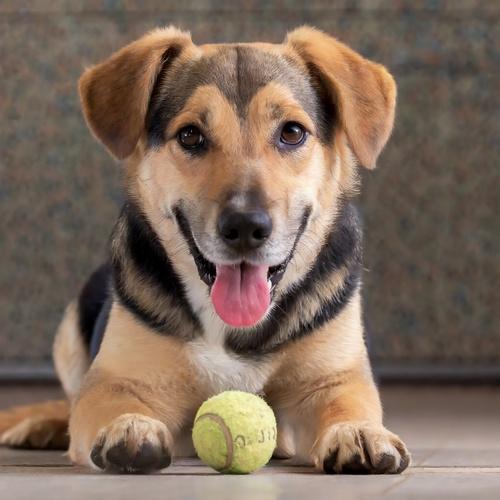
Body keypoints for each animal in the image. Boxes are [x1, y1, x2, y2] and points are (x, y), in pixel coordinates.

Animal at [0, 26, 410, 472]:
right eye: (190, 135)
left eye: (292, 132)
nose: (246, 227)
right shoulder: (116, 379)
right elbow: (107, 401)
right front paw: (128, 426)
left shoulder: (334, 378)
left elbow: (346, 403)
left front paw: (357, 432)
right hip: (70, 329)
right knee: (70, 400)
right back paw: (42, 425)